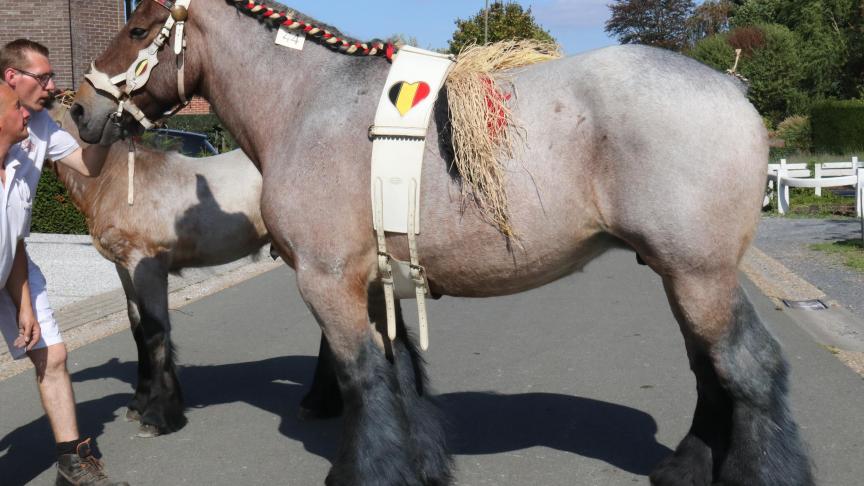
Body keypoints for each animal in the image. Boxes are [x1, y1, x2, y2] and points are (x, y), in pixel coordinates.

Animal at [71, 1, 812, 484]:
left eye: (138, 28)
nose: (81, 108)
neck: (307, 107)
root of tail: (731, 87)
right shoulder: (374, 283)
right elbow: (399, 376)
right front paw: (418, 464)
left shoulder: (325, 280)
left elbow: (363, 379)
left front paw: (363, 473)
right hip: (681, 276)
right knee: (711, 371)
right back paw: (686, 467)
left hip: (700, 273)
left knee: (747, 369)